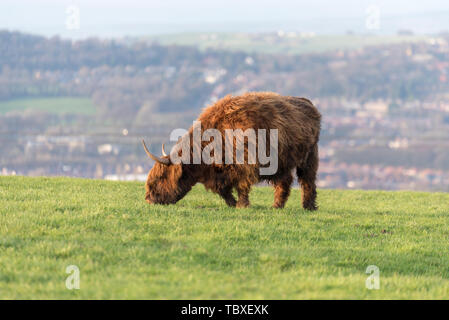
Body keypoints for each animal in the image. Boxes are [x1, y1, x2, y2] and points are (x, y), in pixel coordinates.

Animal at [142, 91, 320, 210]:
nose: (149, 199)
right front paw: (233, 203)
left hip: (309, 156)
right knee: (285, 181)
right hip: (281, 163)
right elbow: (223, 190)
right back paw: (277, 206)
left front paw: (242, 205)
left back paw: (308, 207)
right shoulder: (219, 173)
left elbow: (242, 186)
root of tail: (308, 103)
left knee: (307, 180)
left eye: (160, 178)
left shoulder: (246, 165)